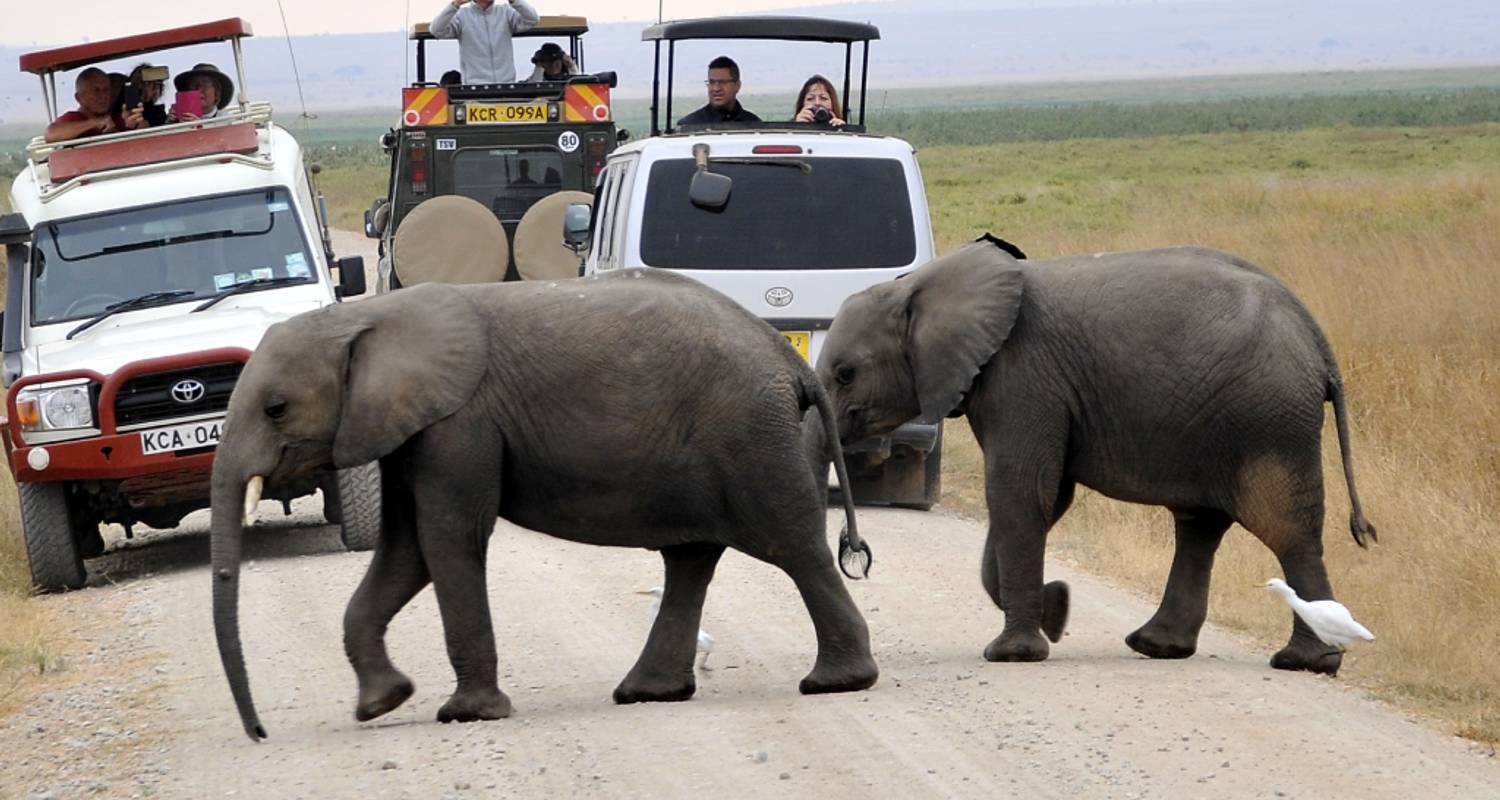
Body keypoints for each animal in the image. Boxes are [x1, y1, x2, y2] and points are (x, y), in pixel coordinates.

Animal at [205, 271, 876, 738]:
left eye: (275, 409)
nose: (259, 733)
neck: (364, 317)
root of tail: (790, 359)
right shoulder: (405, 430)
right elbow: (406, 550)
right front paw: (381, 704)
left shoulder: (460, 423)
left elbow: (448, 537)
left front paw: (467, 715)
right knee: (691, 558)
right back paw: (647, 693)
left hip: (748, 435)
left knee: (792, 544)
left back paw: (837, 682)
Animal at [816, 237, 1374, 672]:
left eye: (845, 374)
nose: (855, 550)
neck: (918, 285)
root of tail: (1319, 343)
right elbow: (1044, 496)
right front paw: (1056, 610)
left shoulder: (1022, 375)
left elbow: (1020, 492)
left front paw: (1013, 652)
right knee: (1200, 525)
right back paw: (1158, 646)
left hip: (1268, 420)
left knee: (1285, 528)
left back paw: (1304, 662)